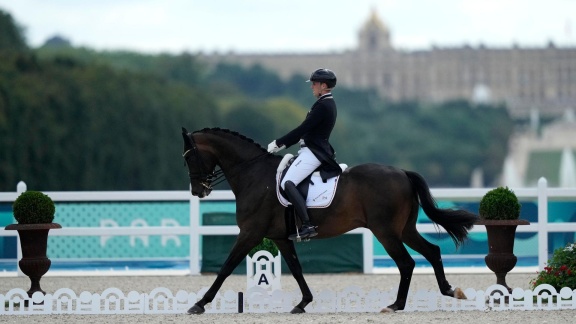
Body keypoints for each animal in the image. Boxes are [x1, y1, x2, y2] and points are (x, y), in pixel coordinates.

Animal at [183, 127, 476, 314]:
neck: (253, 175)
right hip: (404, 230)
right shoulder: (280, 237)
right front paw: (303, 303)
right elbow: (296, 269)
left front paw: (199, 304)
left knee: (406, 263)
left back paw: (395, 305)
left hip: (386, 232)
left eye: (189, 157)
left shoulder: (250, 233)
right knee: (431, 251)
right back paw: (450, 291)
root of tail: (402, 172)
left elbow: (226, 267)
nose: (198, 191)